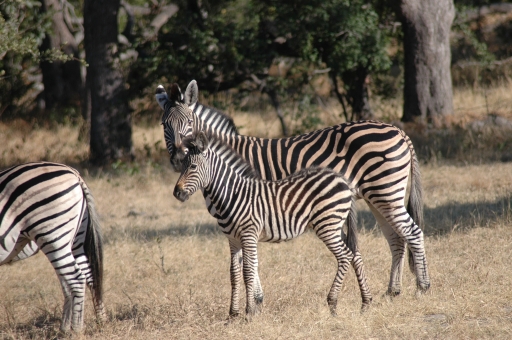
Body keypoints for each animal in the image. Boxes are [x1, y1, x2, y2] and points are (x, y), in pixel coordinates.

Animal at [0, 162, 105, 332]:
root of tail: (74, 173)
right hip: (74, 239)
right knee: (86, 276)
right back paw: (90, 323)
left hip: (52, 235)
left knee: (76, 279)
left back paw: (76, 330)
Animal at [157, 81, 432, 294]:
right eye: (164, 125)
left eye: (189, 121)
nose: (179, 159)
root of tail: (398, 130)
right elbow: (249, 259)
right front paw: (256, 299)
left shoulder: (250, 210)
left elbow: (249, 260)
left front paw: (255, 299)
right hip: (379, 196)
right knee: (397, 238)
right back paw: (393, 291)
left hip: (386, 191)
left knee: (413, 233)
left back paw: (422, 287)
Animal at [173, 131, 372, 318]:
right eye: (182, 166)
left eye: (192, 166)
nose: (177, 193)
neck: (233, 194)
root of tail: (340, 178)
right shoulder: (233, 239)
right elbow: (234, 274)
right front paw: (232, 314)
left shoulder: (249, 235)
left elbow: (248, 271)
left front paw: (249, 312)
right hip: (336, 225)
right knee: (354, 254)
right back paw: (365, 303)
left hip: (327, 225)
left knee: (345, 256)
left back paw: (332, 303)